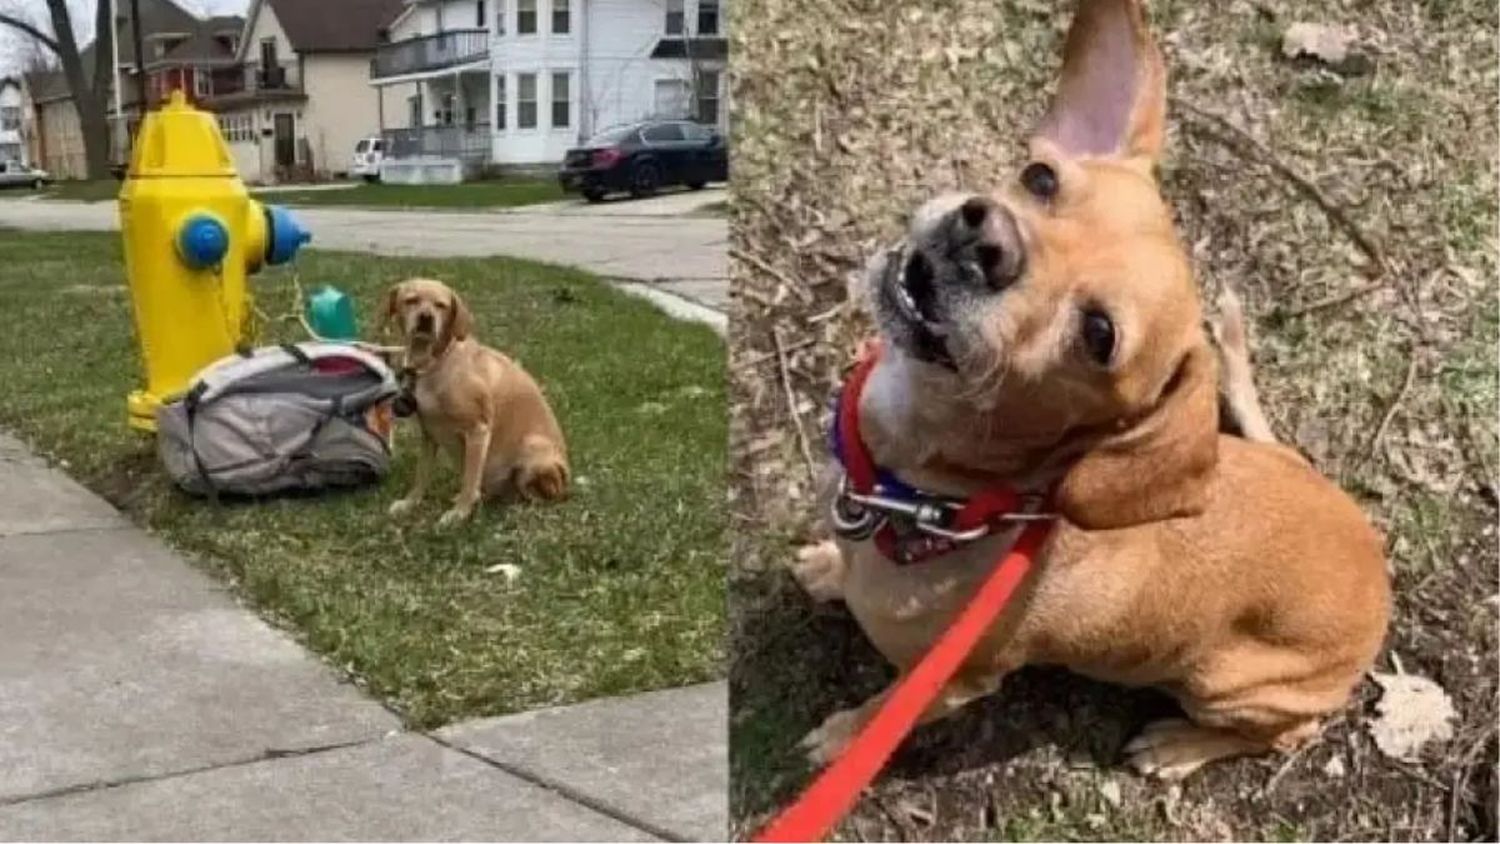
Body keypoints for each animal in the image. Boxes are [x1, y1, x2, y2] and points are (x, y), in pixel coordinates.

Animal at [384, 278, 570, 527]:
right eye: (411, 300)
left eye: (441, 305)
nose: (426, 318)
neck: (434, 363)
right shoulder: (429, 434)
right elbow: (422, 475)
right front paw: (410, 502)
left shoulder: (477, 431)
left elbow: (470, 480)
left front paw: (459, 514)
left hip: (533, 448)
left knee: (537, 494)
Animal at [792, 0, 1386, 785]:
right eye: (1041, 178)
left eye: (1099, 335)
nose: (987, 240)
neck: (933, 499)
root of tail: (1380, 571)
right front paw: (828, 569)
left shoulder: (951, 685)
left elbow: (874, 718)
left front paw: (837, 740)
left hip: (1226, 685)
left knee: (1286, 734)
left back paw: (1178, 747)